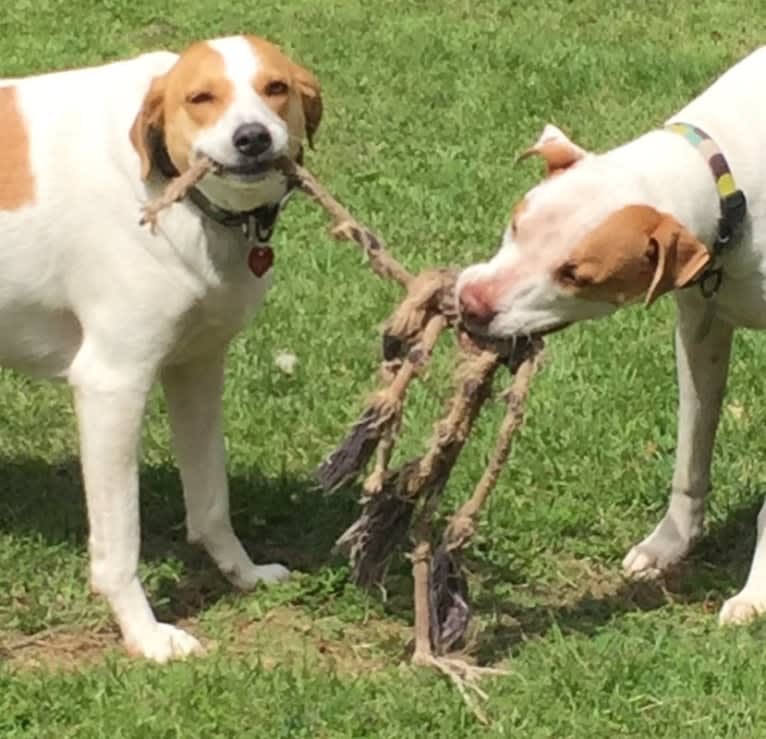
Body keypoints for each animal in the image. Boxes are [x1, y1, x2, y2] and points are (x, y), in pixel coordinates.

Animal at [0, 34, 322, 660]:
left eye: (276, 87)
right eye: (201, 98)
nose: (252, 137)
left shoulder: (197, 367)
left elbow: (211, 500)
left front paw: (243, 575)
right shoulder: (110, 384)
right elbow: (120, 547)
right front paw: (145, 635)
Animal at [460, 46, 766, 624]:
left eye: (576, 275)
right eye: (516, 224)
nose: (471, 303)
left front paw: (755, 595)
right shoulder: (700, 324)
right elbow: (691, 447)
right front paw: (668, 544)